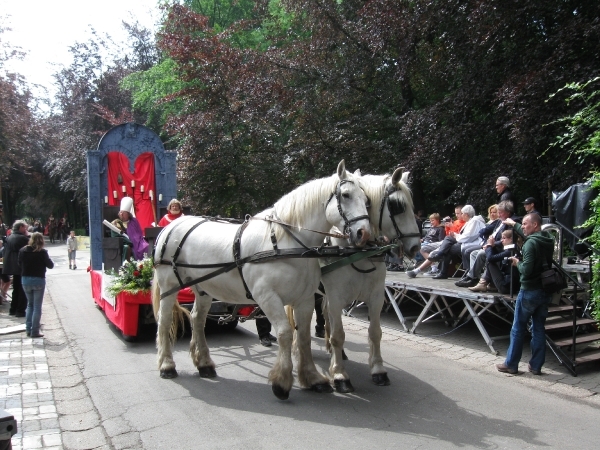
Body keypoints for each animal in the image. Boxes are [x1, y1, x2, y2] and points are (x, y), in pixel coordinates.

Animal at [152, 160, 372, 400]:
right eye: (346, 195)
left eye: (367, 200)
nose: (364, 234)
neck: (285, 243)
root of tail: (172, 225)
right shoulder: (267, 297)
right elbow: (285, 333)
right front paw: (282, 381)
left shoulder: (304, 299)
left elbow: (303, 336)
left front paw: (313, 378)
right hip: (169, 285)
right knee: (165, 321)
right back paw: (166, 365)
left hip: (204, 289)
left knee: (197, 320)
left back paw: (204, 364)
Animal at [308, 167, 420, 392]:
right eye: (397, 205)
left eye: (367, 202)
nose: (416, 246)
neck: (357, 252)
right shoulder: (336, 298)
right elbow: (338, 335)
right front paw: (340, 375)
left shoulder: (376, 297)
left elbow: (375, 332)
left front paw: (378, 370)